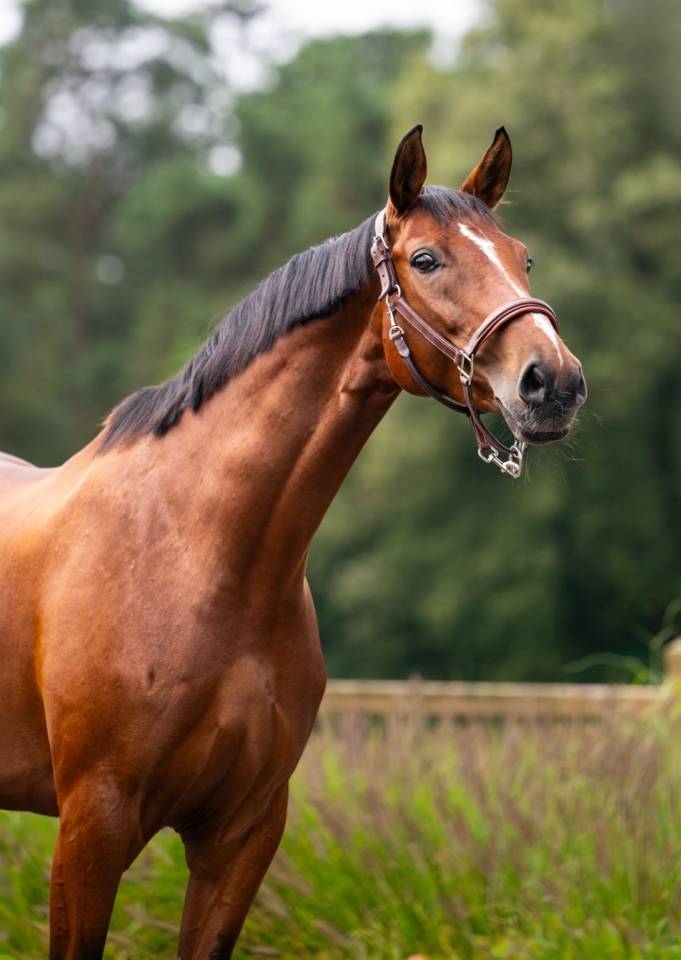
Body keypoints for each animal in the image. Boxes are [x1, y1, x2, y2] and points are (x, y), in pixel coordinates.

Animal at [0, 124, 586, 959]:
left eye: (522, 257)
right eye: (425, 260)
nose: (552, 383)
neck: (197, 557)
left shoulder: (243, 833)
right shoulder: (92, 825)